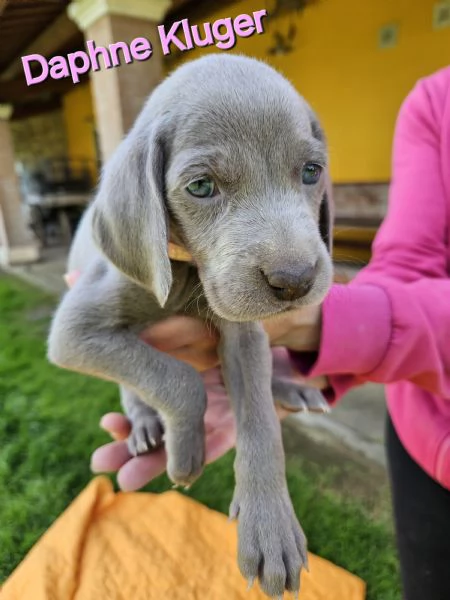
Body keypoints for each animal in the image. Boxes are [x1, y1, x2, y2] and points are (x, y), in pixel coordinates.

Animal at [46, 54, 334, 596]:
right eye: (201, 187)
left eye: (311, 172)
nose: (295, 280)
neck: (186, 278)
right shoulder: (74, 331)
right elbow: (177, 379)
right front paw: (185, 453)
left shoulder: (244, 332)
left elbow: (261, 422)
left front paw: (271, 526)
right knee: (135, 385)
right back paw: (143, 426)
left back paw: (291, 386)